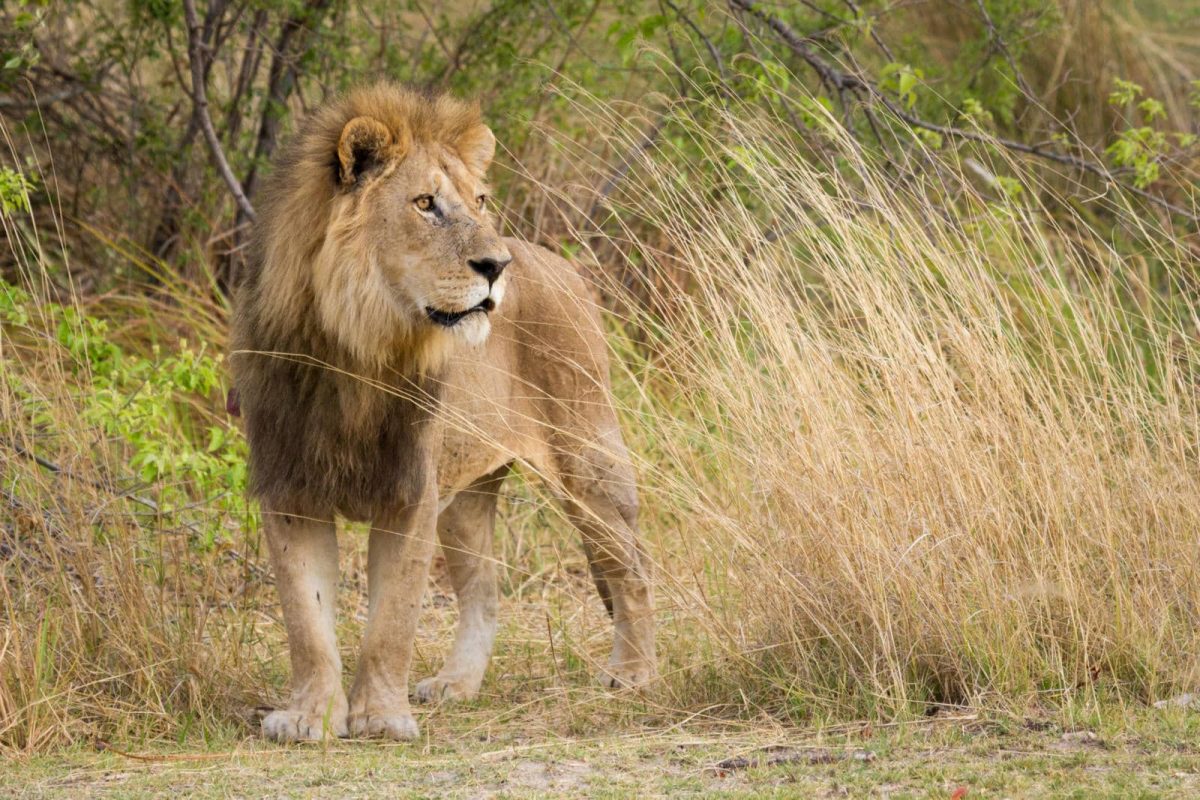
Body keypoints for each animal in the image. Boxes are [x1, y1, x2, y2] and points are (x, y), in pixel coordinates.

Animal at [229, 83, 656, 742]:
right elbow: (306, 621)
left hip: (587, 461)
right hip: (467, 494)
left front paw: (380, 717)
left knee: (631, 565)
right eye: (425, 203)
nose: (497, 267)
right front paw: (309, 717)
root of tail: (567, 268)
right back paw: (458, 684)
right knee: (485, 593)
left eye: (479, 200)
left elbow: (392, 621)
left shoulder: (411, 492)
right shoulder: (290, 487)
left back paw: (632, 674)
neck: (355, 351)